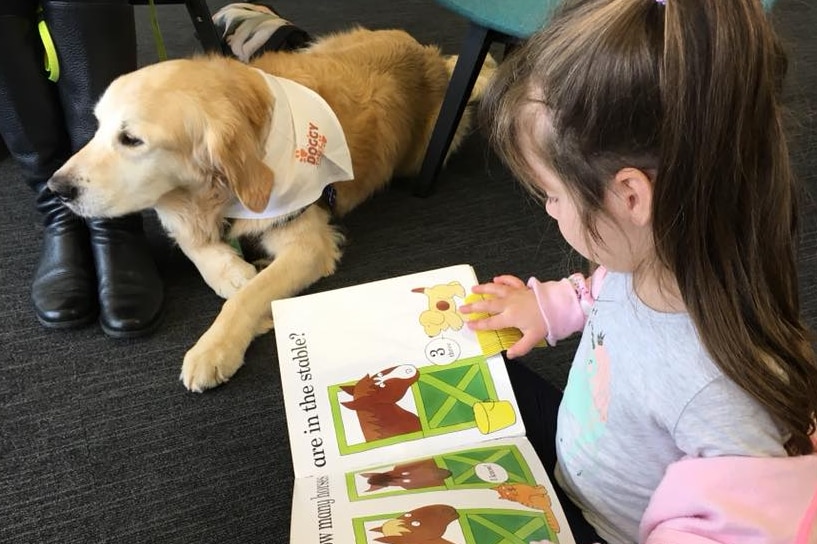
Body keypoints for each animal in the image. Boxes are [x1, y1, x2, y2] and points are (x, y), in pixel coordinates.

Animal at [51, 27, 494, 392]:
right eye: (97, 126)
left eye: (131, 139)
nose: (56, 188)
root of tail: (431, 57)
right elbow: (200, 248)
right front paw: (232, 272)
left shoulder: (309, 244)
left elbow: (249, 296)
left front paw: (215, 348)